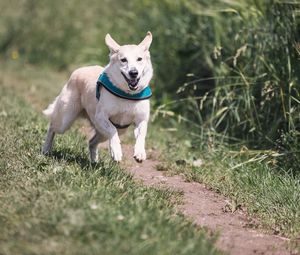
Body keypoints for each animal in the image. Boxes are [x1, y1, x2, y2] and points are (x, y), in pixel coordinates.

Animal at [42, 31, 154, 162]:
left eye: (139, 59)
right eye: (123, 60)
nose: (133, 73)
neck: (127, 94)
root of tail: (79, 70)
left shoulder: (141, 120)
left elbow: (142, 135)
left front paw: (140, 152)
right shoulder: (101, 116)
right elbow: (112, 130)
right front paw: (116, 151)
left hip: (112, 131)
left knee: (92, 142)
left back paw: (94, 162)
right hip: (65, 120)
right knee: (52, 127)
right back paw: (46, 149)